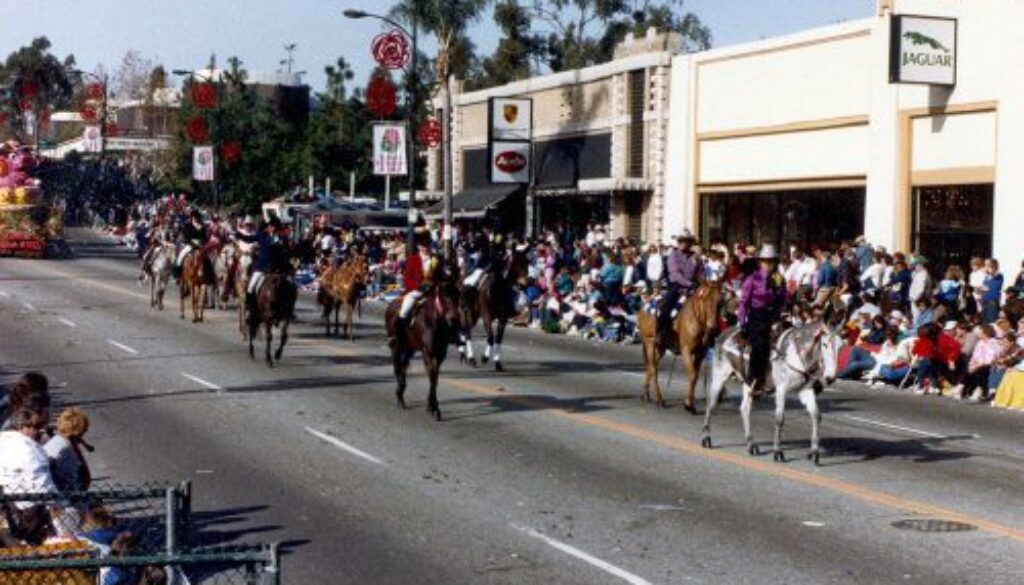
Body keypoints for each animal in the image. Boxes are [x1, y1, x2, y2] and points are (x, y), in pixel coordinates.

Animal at [385, 278, 460, 422]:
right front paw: (433, 408)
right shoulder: (427, 352)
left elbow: (434, 378)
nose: (454, 319)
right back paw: (399, 397)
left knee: (403, 367)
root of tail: (392, 303)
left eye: (458, 294)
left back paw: (401, 393)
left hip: (409, 348)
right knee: (397, 368)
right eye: (444, 295)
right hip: (396, 346)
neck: (435, 321)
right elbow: (432, 376)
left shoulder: (440, 354)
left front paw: (432, 407)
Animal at [634, 282, 724, 411]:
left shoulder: (701, 353)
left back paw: (645, 394)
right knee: (654, 369)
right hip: (649, 342)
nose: (713, 327)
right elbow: (692, 375)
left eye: (720, 301)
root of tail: (645, 304)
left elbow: (695, 375)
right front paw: (689, 405)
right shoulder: (686, 350)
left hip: (660, 347)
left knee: (651, 366)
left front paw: (689, 402)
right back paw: (659, 399)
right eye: (705, 300)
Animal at [704, 319, 839, 467]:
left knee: (744, 409)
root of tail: (724, 334)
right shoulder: (781, 390)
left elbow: (816, 416)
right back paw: (706, 438)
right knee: (711, 406)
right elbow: (779, 419)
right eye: (825, 344)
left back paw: (751, 444)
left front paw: (814, 452)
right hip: (719, 377)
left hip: (748, 384)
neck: (794, 355)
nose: (830, 378)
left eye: (840, 346)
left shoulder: (806, 390)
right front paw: (778, 452)